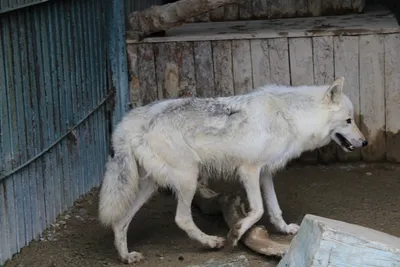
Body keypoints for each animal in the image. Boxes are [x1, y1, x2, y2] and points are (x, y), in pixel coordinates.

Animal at [98, 77, 368, 264]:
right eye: (348, 120)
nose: (365, 142)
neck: (291, 116)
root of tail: (130, 120)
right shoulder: (248, 170)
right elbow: (258, 210)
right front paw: (236, 233)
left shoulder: (265, 172)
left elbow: (274, 208)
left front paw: (285, 229)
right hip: (188, 178)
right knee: (181, 218)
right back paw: (211, 242)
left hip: (150, 186)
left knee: (120, 221)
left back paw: (126, 256)